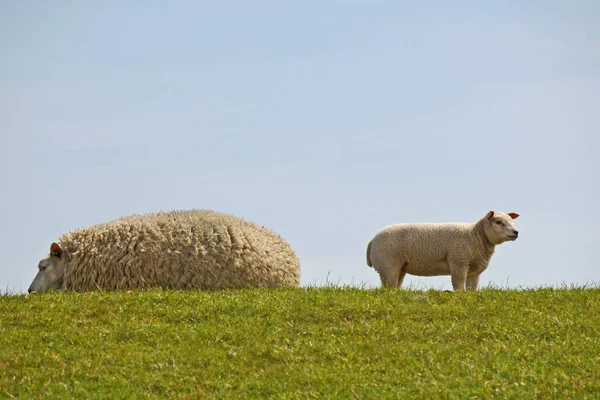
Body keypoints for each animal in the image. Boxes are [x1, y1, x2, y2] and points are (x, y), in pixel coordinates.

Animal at [366, 209, 520, 290]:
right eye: (498, 222)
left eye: (511, 222)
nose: (516, 232)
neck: (475, 235)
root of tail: (373, 240)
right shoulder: (458, 262)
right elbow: (458, 284)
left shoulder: (474, 270)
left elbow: (472, 288)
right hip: (388, 264)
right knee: (388, 287)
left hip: (399, 266)